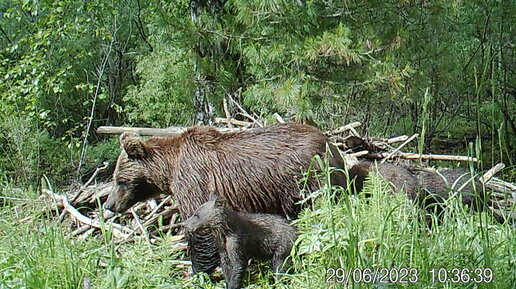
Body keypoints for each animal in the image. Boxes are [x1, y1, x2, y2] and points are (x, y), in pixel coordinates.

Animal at [104, 122, 346, 272]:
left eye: (119, 180)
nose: (109, 204)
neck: (169, 169)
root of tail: (329, 143)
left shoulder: (193, 183)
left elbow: (200, 230)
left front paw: (200, 271)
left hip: (303, 180)